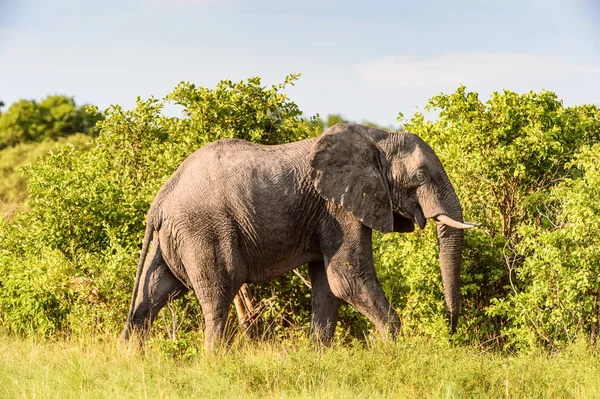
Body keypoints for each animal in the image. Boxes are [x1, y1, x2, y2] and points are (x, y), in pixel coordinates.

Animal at [120, 122, 478, 350]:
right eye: (419, 177)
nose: (451, 329)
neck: (378, 138)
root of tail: (161, 200)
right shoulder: (338, 208)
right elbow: (347, 279)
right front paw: (395, 352)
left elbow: (328, 286)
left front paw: (319, 355)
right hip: (203, 229)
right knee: (217, 295)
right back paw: (216, 361)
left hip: (173, 238)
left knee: (152, 294)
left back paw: (132, 358)